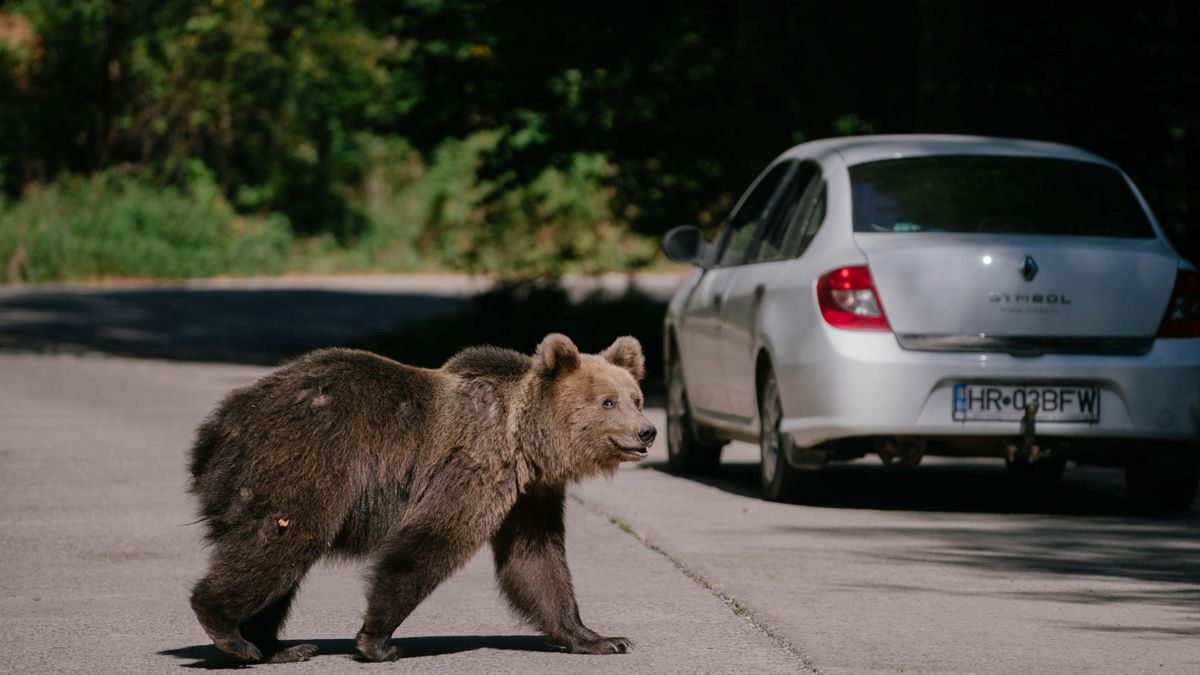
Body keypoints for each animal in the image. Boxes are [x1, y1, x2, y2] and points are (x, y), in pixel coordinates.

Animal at [187, 333, 655, 663]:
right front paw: (378, 642)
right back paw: (230, 630)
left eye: (635, 398)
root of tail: (218, 426)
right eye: (607, 402)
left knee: (282, 559)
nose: (647, 431)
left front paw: (600, 638)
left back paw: (277, 646)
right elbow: (431, 540)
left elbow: (536, 560)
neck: (525, 442)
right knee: (280, 542)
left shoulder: (528, 495)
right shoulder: (474, 464)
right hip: (303, 460)